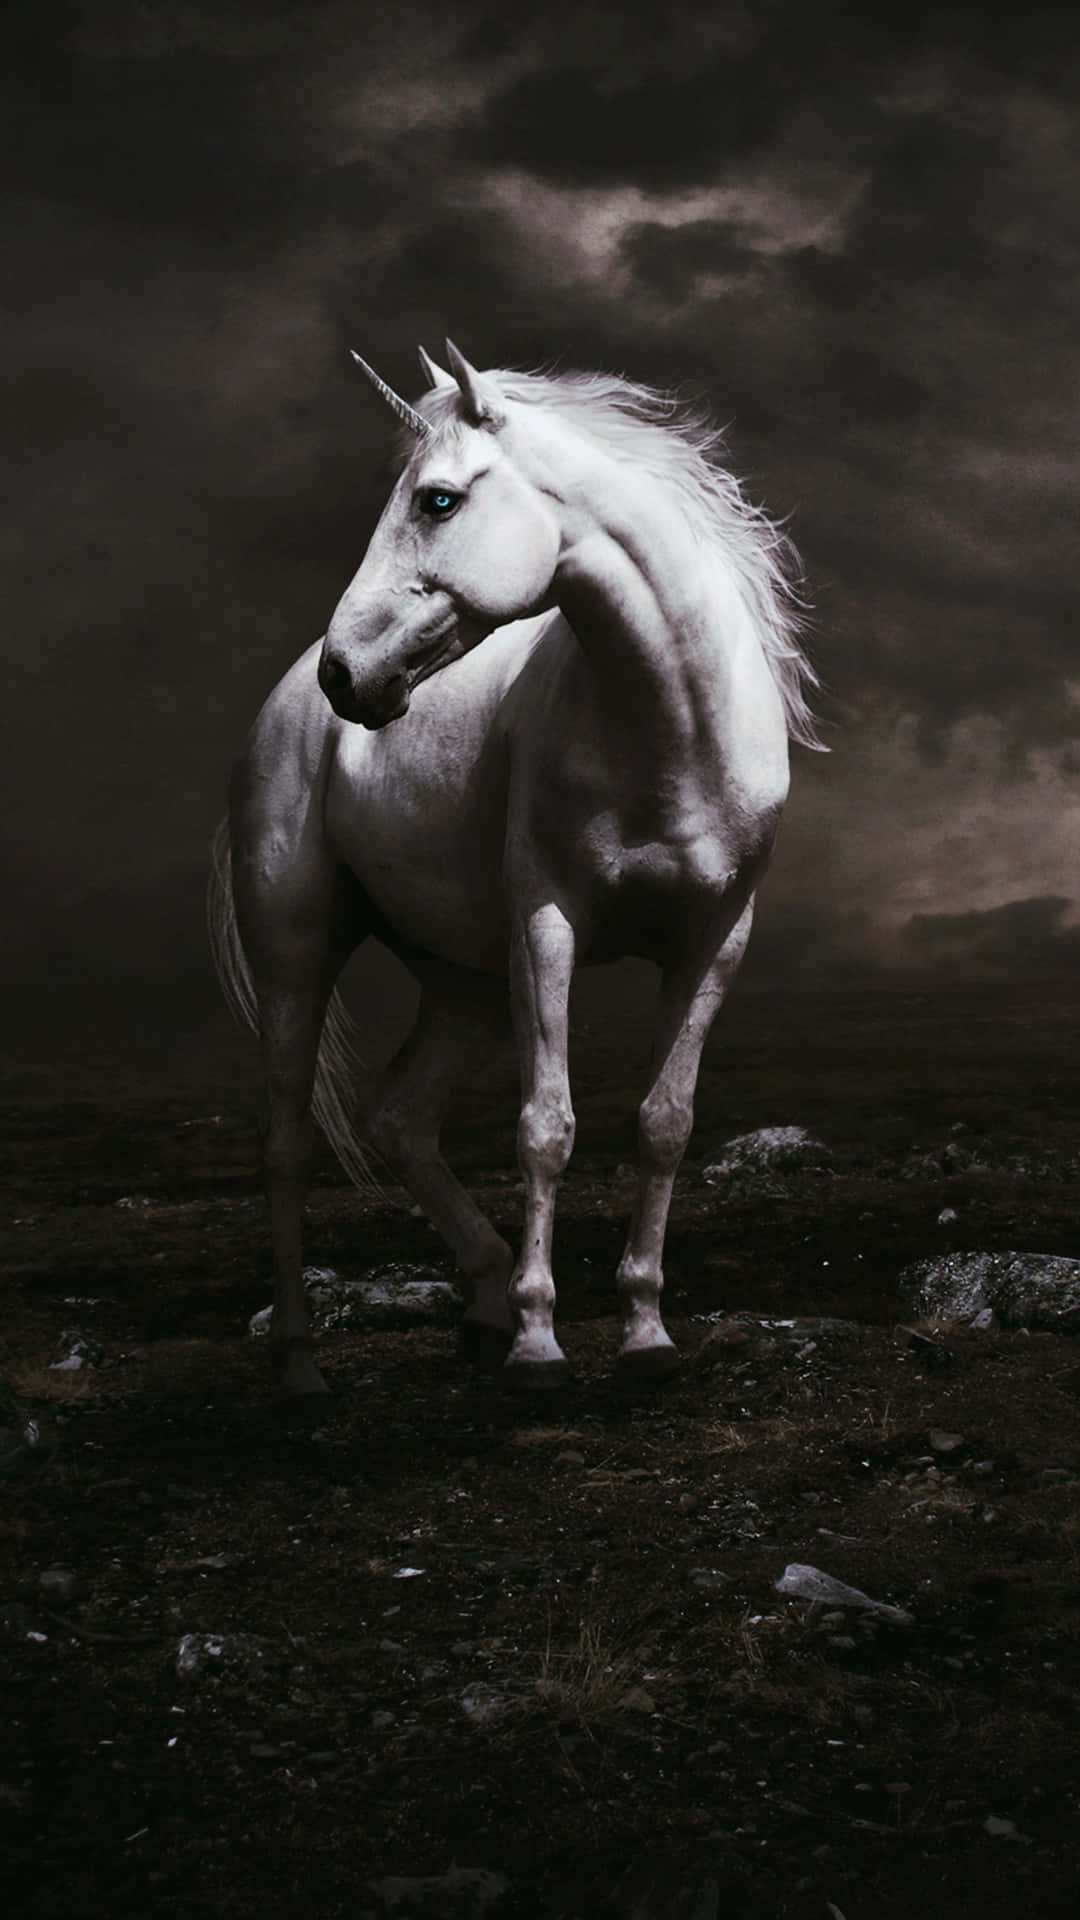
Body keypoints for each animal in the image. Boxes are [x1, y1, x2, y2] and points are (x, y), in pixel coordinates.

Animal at [208, 340, 822, 1400]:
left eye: (439, 501)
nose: (345, 675)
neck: (669, 732)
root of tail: (284, 705)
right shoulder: (549, 926)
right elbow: (547, 1125)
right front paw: (542, 1343)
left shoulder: (714, 941)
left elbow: (664, 1124)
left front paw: (644, 1329)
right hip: (299, 954)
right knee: (285, 1139)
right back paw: (302, 1362)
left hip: (467, 984)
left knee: (402, 1117)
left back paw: (485, 1303)